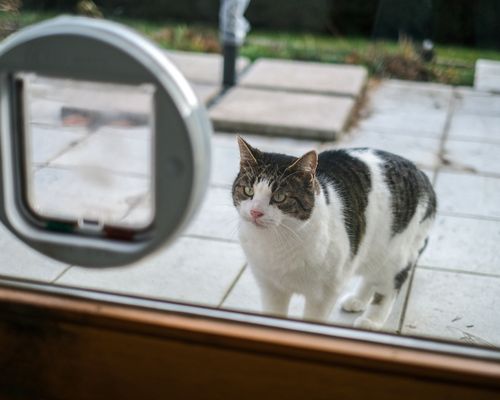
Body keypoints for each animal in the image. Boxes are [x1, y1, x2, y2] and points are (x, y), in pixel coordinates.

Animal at [232, 136, 436, 330]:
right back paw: (357, 300)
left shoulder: (323, 294)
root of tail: (422, 174)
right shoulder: (271, 288)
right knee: (371, 274)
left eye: (279, 197)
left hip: (395, 252)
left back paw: (371, 320)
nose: (255, 212)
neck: (276, 243)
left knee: (390, 285)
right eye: (248, 190)